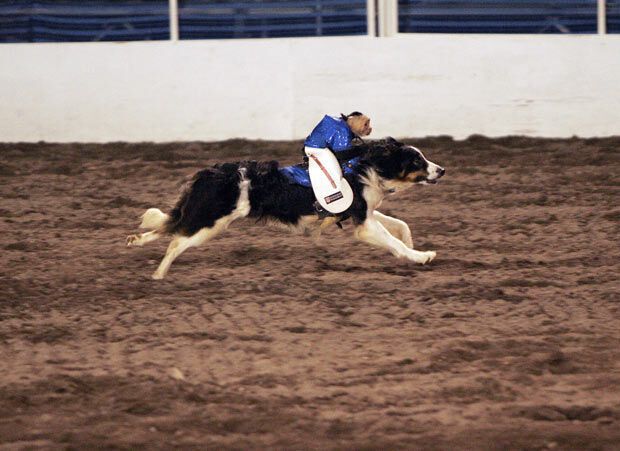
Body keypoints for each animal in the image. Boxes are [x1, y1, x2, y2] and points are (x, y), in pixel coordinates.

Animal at [127, 139, 446, 278]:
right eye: (416, 161)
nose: (442, 170)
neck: (365, 168)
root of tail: (210, 173)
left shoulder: (362, 213)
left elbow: (400, 225)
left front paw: (412, 244)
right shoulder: (364, 225)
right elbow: (393, 241)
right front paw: (422, 256)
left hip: (203, 217)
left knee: (170, 227)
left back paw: (136, 241)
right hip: (211, 224)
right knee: (176, 241)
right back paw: (159, 275)